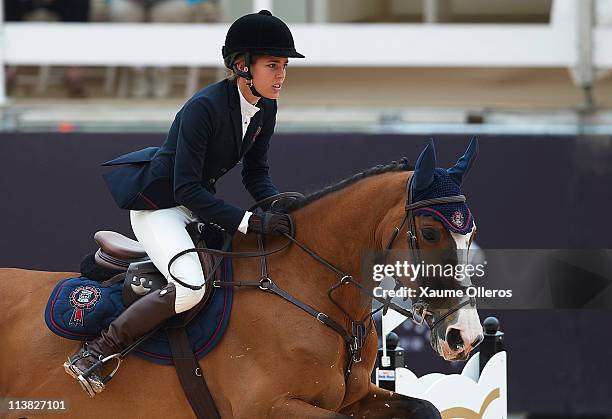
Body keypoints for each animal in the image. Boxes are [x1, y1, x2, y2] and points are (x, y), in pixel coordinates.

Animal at [2, 140, 486, 416]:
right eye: (430, 232)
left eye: (472, 235)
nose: (466, 337)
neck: (309, 288)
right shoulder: (268, 408)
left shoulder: (355, 399)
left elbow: (427, 409)